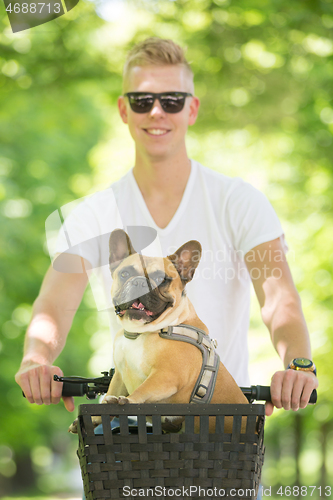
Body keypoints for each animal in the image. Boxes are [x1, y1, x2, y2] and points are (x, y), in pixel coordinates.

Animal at [69, 230, 246, 434]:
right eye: (125, 273)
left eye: (162, 280)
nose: (139, 282)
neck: (139, 333)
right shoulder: (119, 377)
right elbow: (108, 397)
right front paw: (95, 418)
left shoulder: (166, 376)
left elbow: (142, 390)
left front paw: (128, 401)